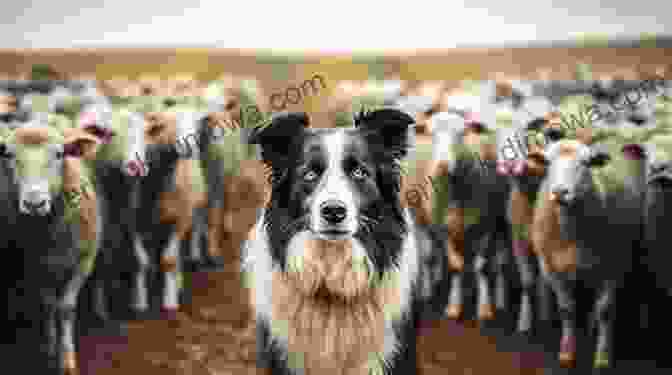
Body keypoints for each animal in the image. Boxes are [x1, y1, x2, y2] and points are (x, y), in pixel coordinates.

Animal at [0, 124, 102, 375]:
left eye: (59, 154)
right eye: (9, 154)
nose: (34, 203)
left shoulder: (84, 262)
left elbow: (65, 308)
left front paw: (67, 360)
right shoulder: (35, 265)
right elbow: (47, 304)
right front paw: (50, 347)